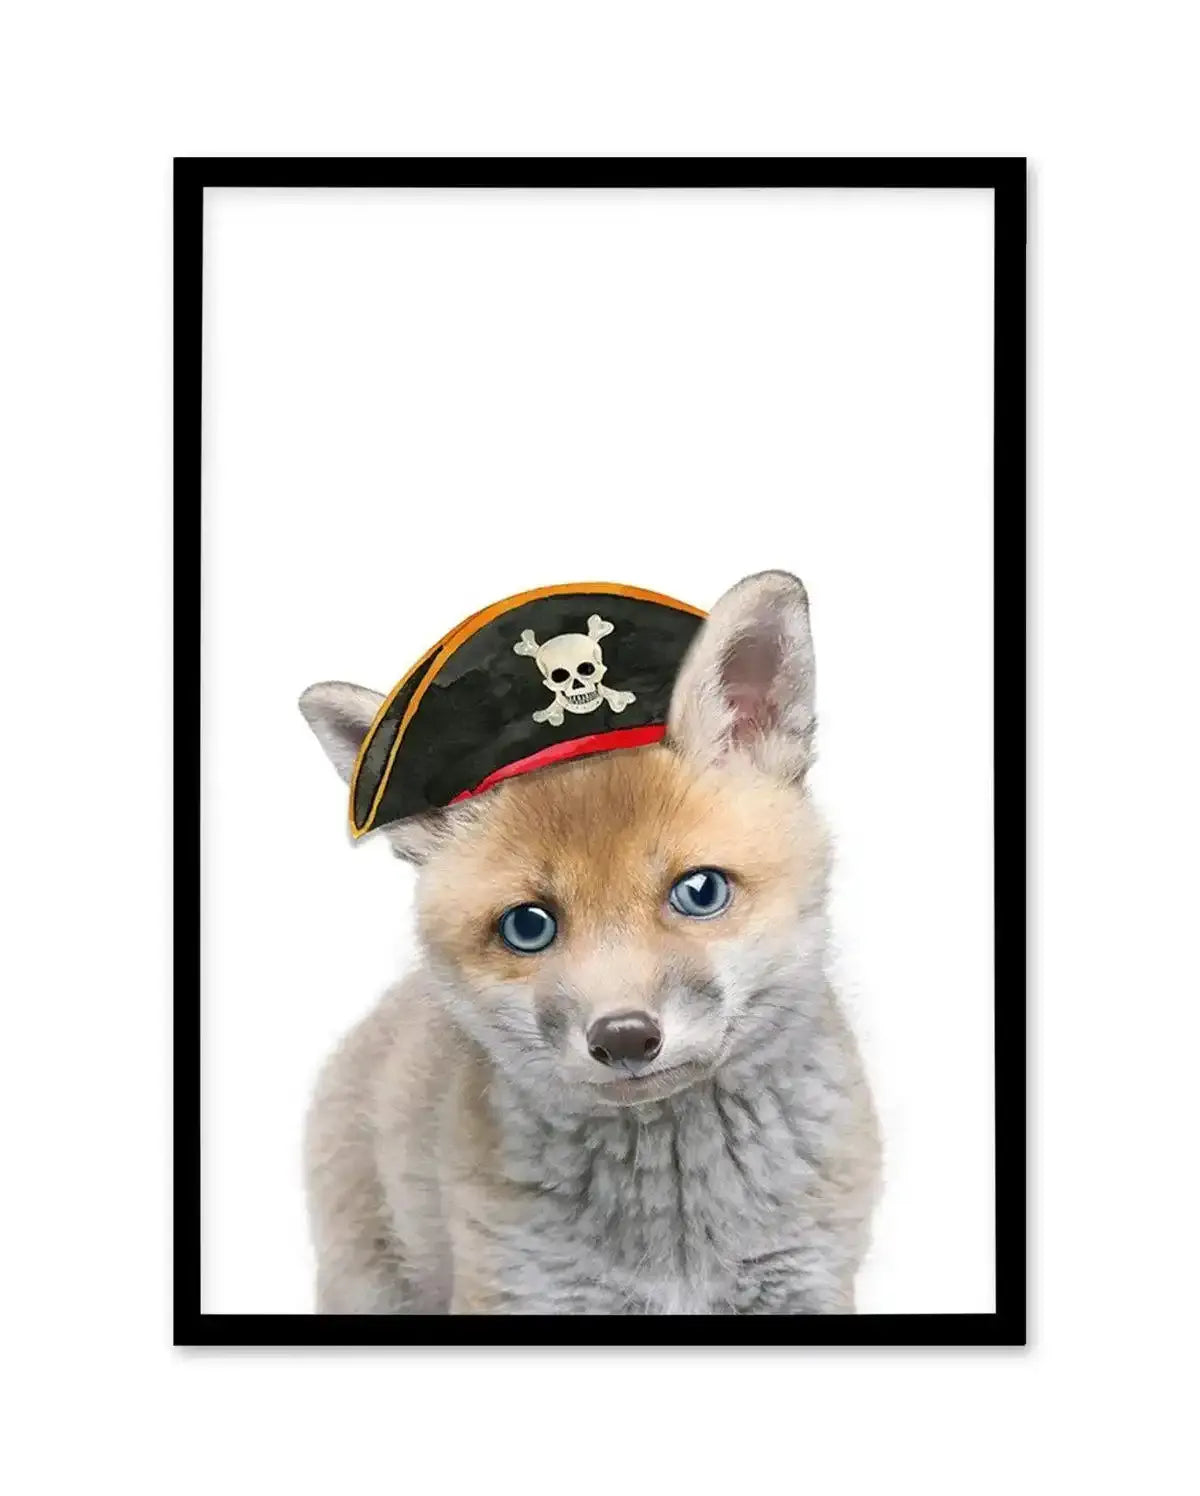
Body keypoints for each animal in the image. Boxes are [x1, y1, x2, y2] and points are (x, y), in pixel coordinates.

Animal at [298, 570, 880, 1314]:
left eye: (700, 892)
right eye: (528, 926)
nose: (625, 1038)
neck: (678, 1239)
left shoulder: (804, 1281)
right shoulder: (521, 1289)